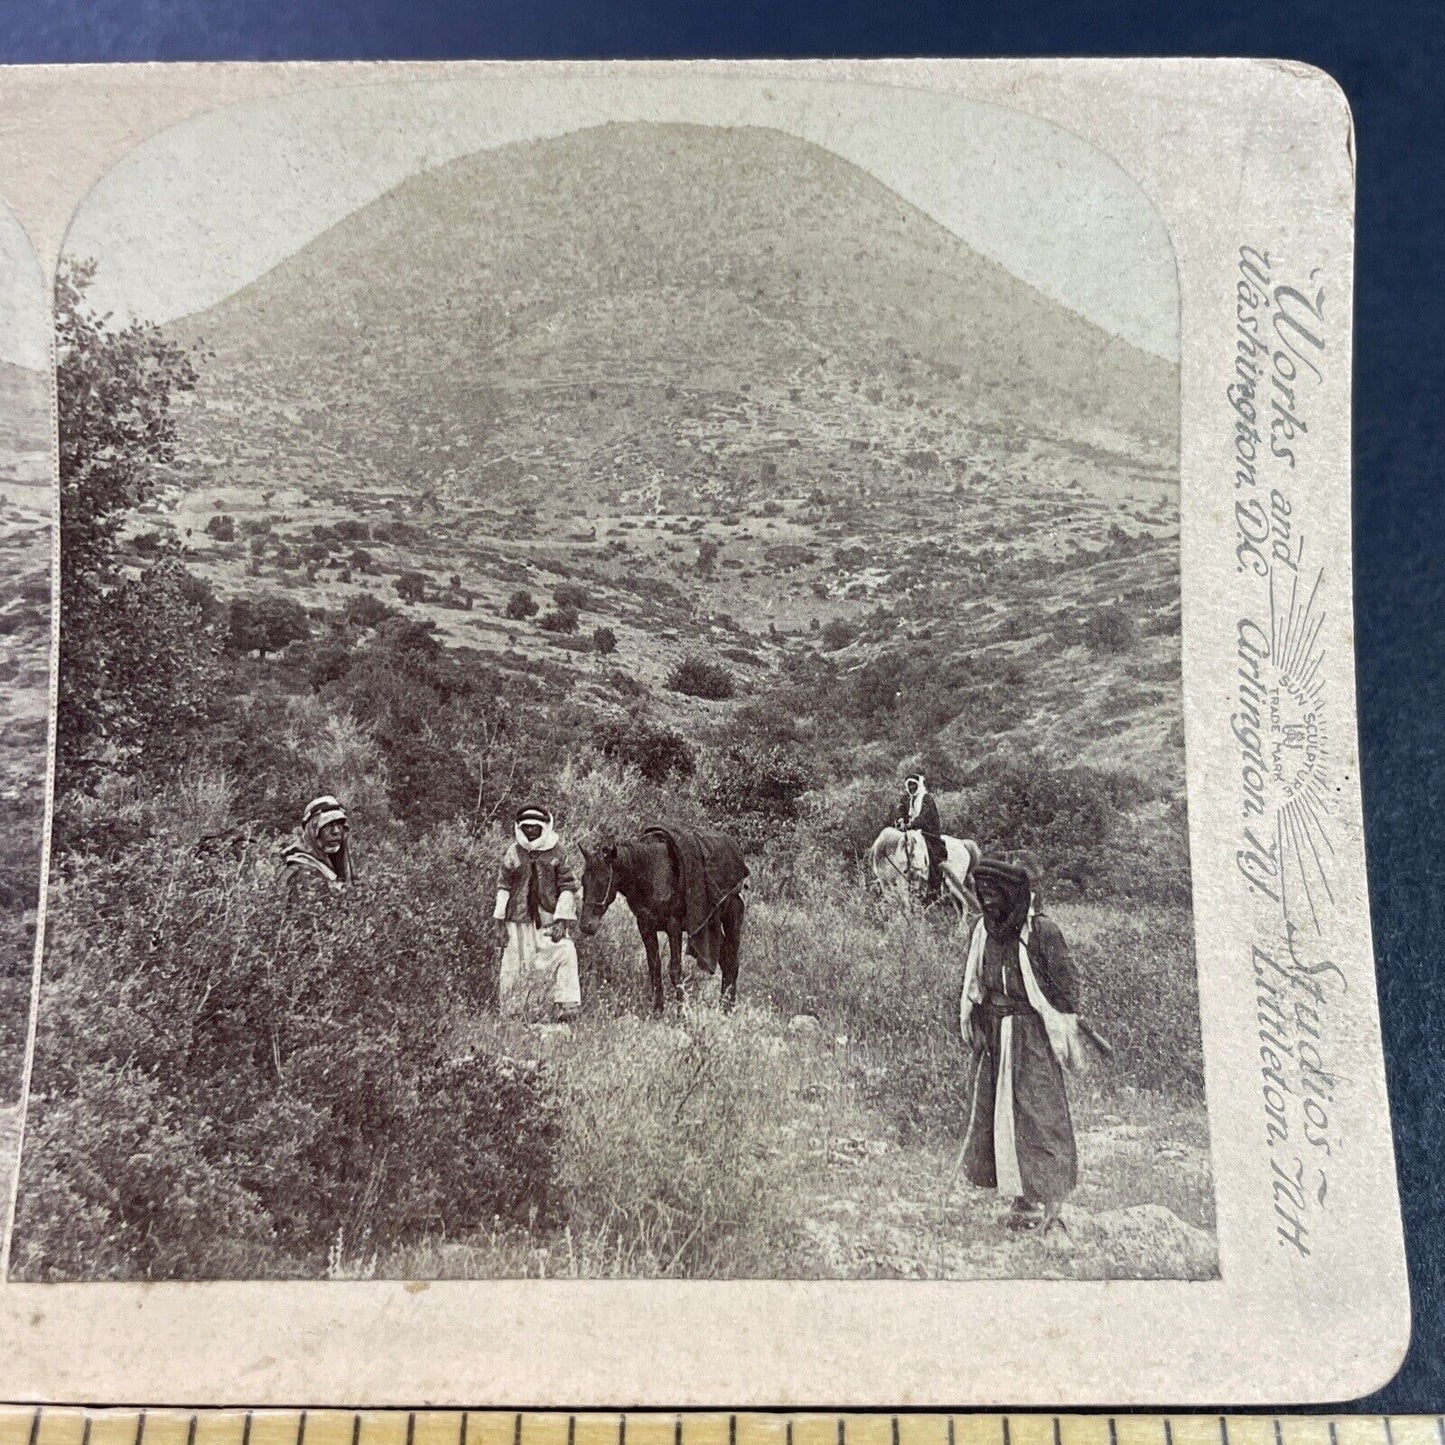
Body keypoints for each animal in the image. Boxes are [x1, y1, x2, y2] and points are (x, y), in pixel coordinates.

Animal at [578, 832, 745, 1011]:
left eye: (603, 880)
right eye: (583, 880)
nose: (586, 925)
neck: (651, 874)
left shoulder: (674, 928)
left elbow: (675, 971)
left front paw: (681, 1013)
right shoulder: (646, 927)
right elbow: (654, 967)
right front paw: (657, 1011)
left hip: (732, 921)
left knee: (732, 963)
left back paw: (728, 1008)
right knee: (726, 961)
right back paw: (724, 1006)